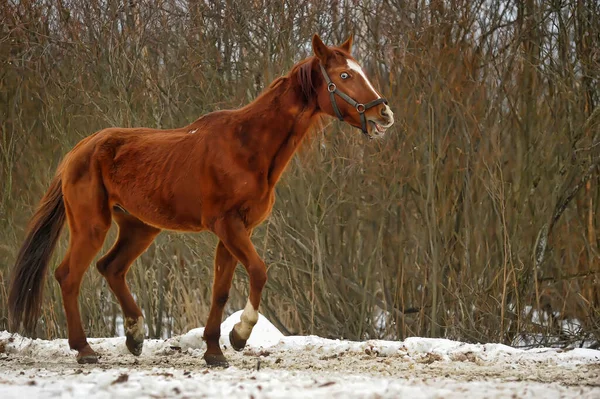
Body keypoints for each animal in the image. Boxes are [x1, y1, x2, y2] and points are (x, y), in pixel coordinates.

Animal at [10, 32, 394, 368]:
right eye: (344, 75)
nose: (384, 114)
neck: (246, 147)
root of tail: (79, 150)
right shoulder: (227, 225)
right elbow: (259, 271)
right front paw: (239, 335)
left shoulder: (236, 231)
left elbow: (220, 291)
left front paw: (214, 351)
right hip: (92, 225)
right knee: (68, 276)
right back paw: (85, 349)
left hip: (139, 227)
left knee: (111, 267)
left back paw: (135, 335)